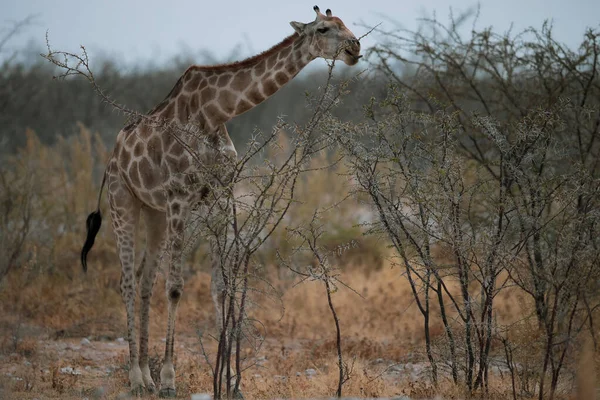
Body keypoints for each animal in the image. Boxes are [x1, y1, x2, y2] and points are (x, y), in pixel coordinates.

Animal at [79, 4, 360, 398]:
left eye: (346, 23)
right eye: (323, 29)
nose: (355, 48)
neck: (214, 113)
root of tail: (111, 160)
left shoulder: (221, 199)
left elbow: (221, 287)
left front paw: (229, 381)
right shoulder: (180, 198)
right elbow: (176, 288)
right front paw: (170, 380)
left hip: (154, 213)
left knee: (143, 279)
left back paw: (146, 376)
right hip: (125, 203)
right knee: (128, 282)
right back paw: (136, 377)